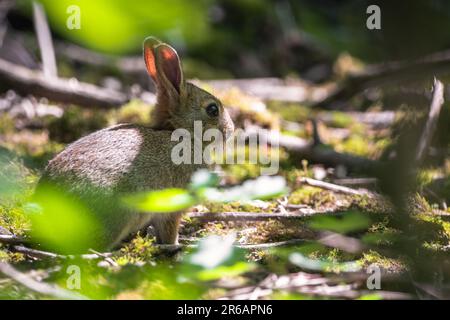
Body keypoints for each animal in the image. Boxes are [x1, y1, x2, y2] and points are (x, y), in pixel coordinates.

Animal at [35, 37, 236, 252]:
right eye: (213, 110)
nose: (231, 129)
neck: (180, 132)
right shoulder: (172, 204)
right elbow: (169, 229)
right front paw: (175, 246)